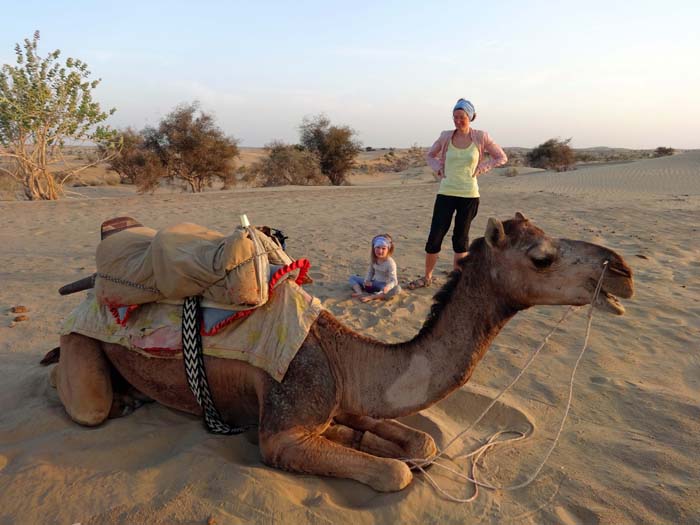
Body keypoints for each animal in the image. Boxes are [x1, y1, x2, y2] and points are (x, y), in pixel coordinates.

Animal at [46, 213, 632, 492]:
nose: (622, 270)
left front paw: (369, 439)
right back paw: (119, 400)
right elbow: (394, 473)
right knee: (85, 401)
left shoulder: (346, 396)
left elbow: (421, 441)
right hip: (82, 349)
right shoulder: (281, 432)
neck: (342, 353)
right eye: (542, 257)